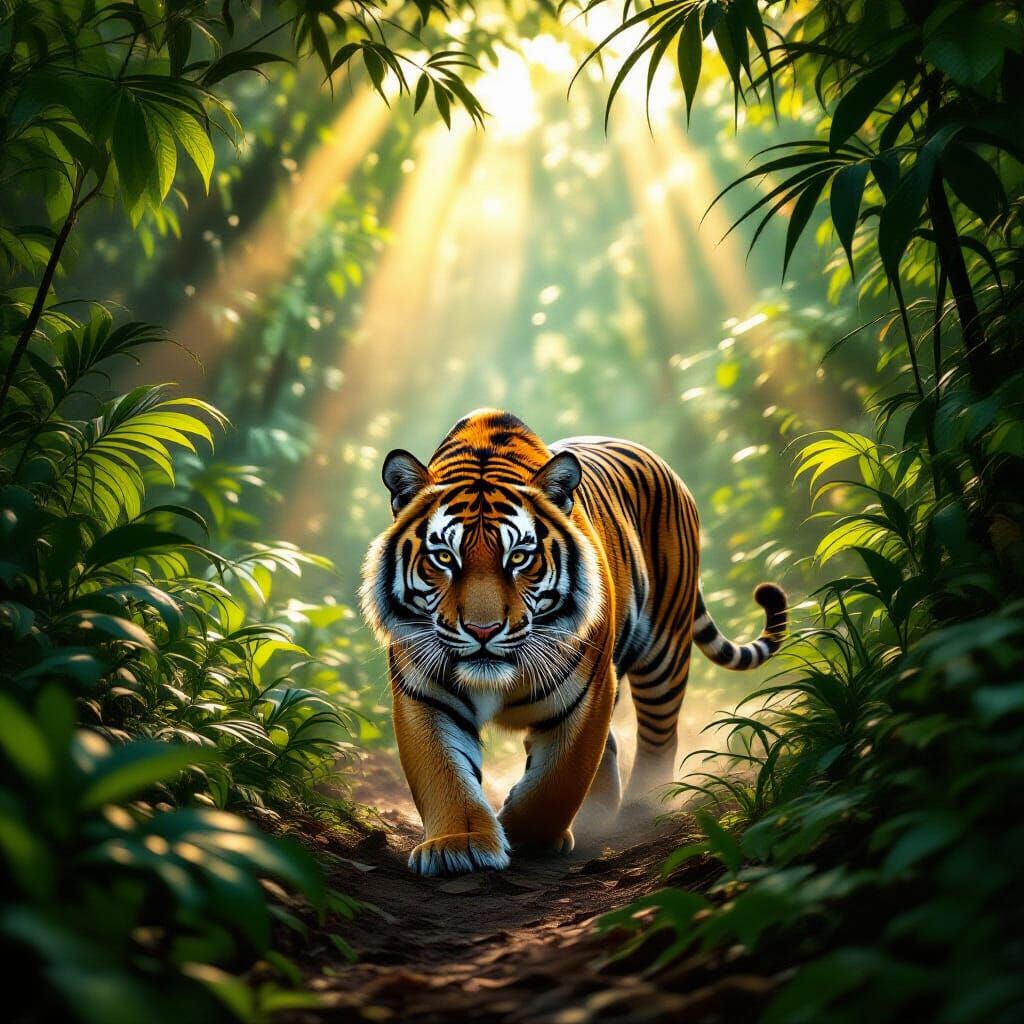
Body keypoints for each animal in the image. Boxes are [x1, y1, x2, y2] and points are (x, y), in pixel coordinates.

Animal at [360, 409, 787, 876]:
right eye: (443, 558)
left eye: (519, 557)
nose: (482, 630)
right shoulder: (425, 691)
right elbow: (443, 772)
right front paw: (459, 845)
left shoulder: (588, 689)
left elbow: (559, 778)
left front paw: (526, 834)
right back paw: (597, 814)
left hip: (664, 651)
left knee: (659, 734)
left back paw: (642, 808)